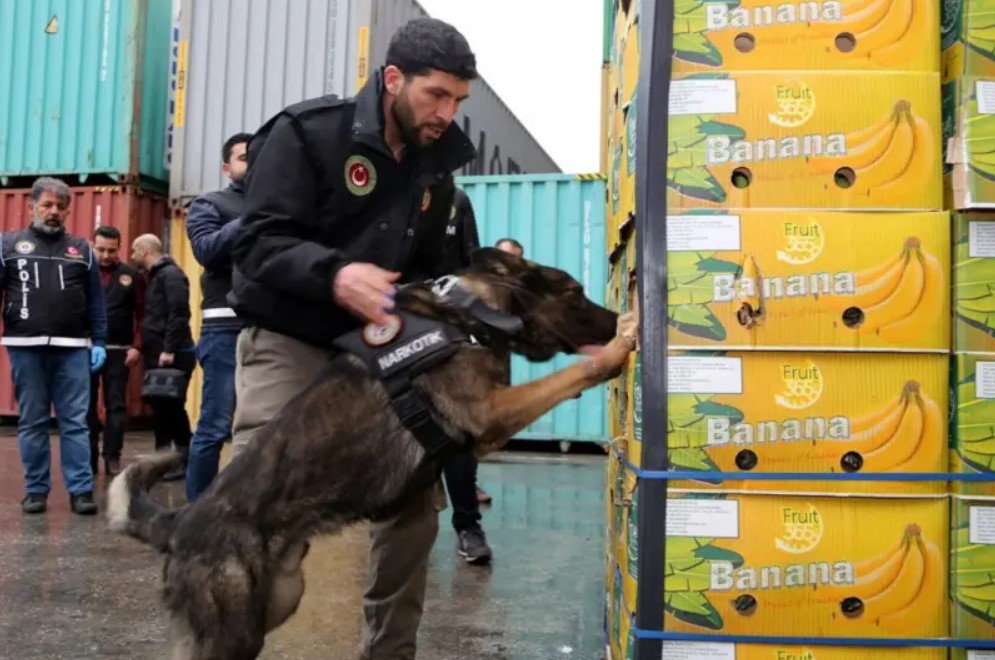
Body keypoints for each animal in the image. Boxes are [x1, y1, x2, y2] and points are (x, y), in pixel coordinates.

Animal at [107, 249, 640, 660]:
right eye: (574, 291)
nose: (616, 317)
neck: (468, 313)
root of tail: (178, 523)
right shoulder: (490, 414)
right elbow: (571, 375)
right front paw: (617, 349)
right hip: (232, 630)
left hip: (277, 599)